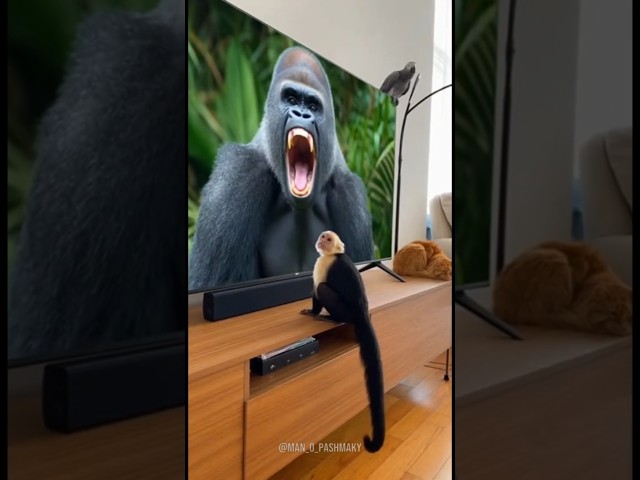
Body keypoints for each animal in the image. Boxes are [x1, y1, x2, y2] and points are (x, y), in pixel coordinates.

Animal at [302, 230, 385, 453]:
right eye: (323, 236)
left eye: (328, 239)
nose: (321, 240)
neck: (333, 254)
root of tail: (362, 312)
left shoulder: (322, 263)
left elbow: (317, 290)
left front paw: (312, 312)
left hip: (346, 311)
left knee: (324, 289)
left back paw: (331, 318)